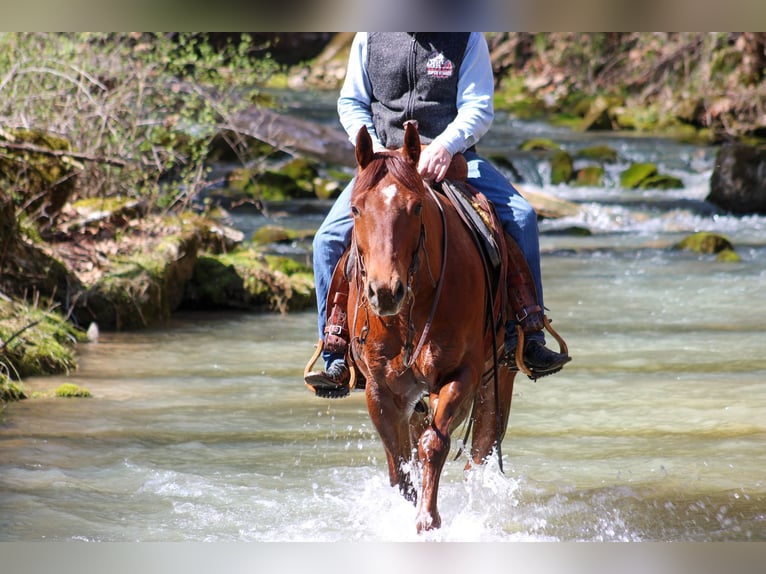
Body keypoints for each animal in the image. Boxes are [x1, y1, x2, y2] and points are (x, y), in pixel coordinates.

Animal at [345, 122, 516, 532]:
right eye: (356, 208)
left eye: (416, 205)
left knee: (482, 448)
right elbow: (398, 463)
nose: (385, 291)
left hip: (498, 375)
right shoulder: (380, 389)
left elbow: (432, 445)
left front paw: (428, 520)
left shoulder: (461, 374)